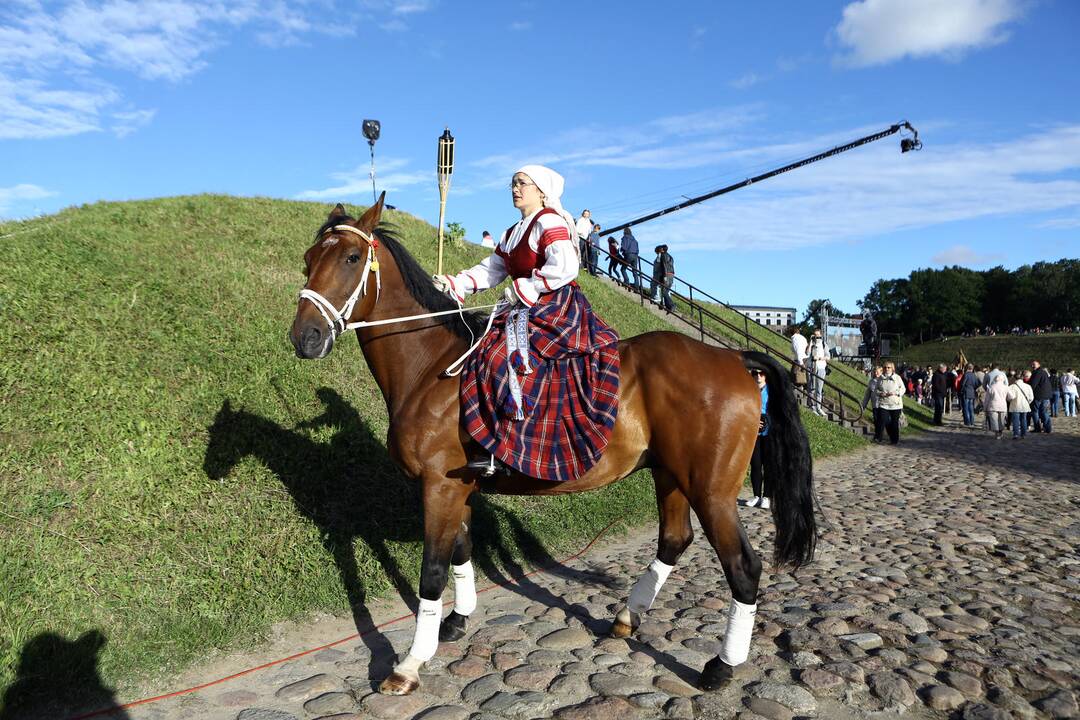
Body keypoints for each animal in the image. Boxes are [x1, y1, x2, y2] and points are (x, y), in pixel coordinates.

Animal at [291, 194, 812, 695]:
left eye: (352, 257)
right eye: (309, 259)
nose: (304, 337)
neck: (430, 367)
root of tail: (735, 357)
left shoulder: (439, 486)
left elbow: (432, 572)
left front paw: (411, 663)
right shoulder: (457, 487)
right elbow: (460, 551)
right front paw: (456, 621)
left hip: (712, 490)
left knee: (743, 566)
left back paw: (721, 666)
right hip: (670, 475)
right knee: (675, 539)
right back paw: (628, 617)